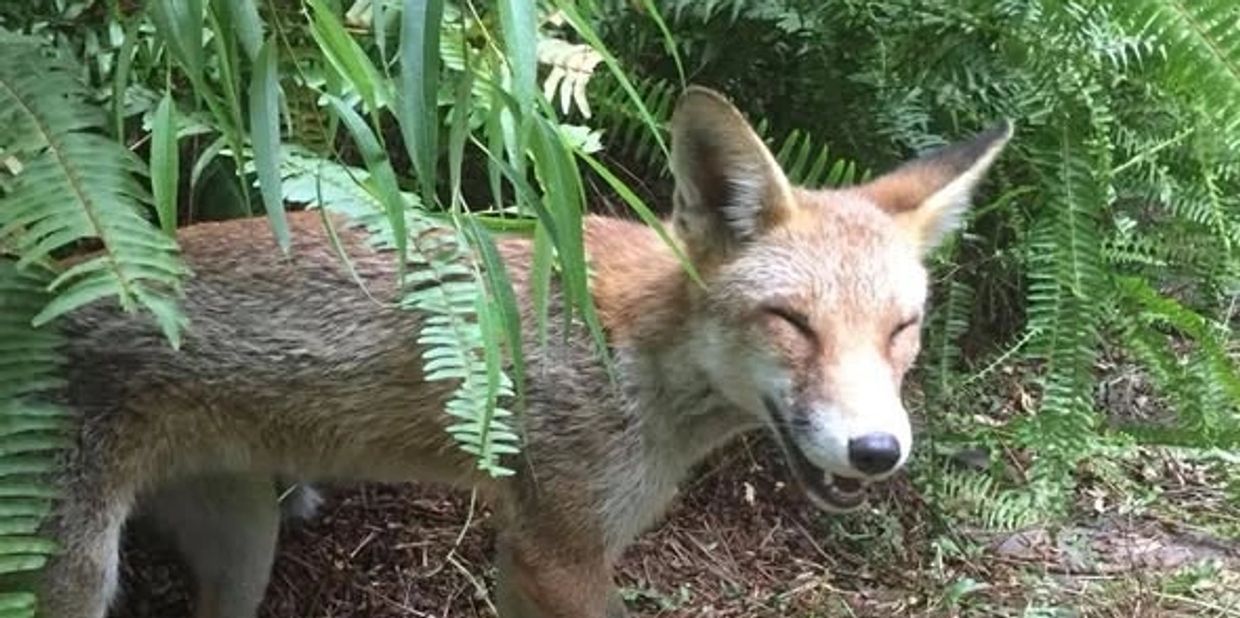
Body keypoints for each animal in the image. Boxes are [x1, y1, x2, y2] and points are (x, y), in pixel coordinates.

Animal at [37, 86, 1011, 618]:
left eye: (901, 330)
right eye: (793, 323)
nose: (878, 451)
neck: (640, 361)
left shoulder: (527, 553)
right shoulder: (558, 551)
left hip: (247, 541)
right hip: (78, 581)